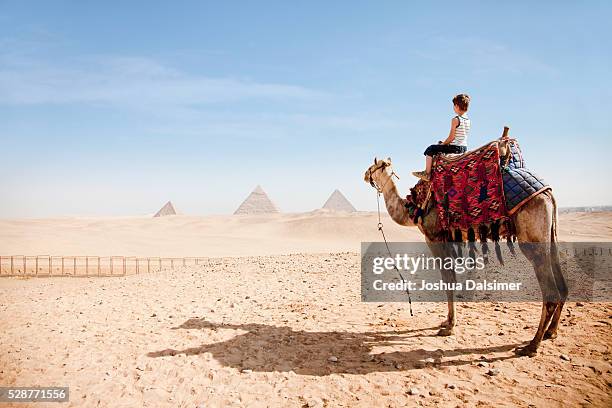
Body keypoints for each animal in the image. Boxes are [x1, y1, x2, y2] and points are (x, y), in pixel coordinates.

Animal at [364, 154, 568, 356]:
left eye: (373, 167)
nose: (365, 175)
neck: (414, 208)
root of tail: (547, 193)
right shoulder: (447, 240)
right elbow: (452, 278)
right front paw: (447, 321)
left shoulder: (433, 237)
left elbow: (447, 279)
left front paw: (449, 327)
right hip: (551, 235)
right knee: (562, 284)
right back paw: (551, 332)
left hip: (532, 236)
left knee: (550, 291)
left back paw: (531, 346)